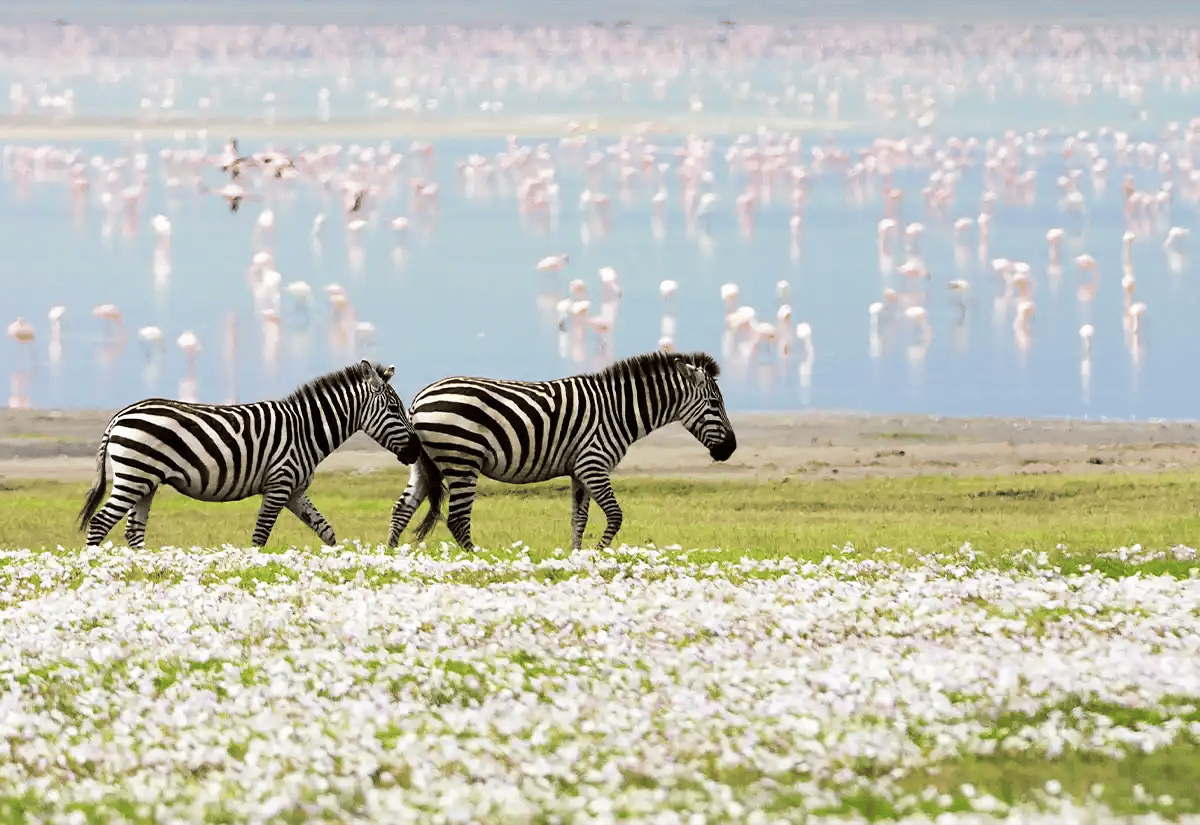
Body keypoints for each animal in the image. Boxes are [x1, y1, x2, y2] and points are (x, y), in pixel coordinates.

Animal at [78, 359, 443, 549]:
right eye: (395, 409)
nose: (416, 450)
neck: (306, 430)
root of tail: (120, 415)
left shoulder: (295, 491)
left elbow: (326, 530)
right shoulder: (278, 485)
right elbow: (260, 536)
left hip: (145, 483)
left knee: (133, 531)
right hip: (133, 476)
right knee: (99, 523)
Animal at [386, 350, 736, 551]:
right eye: (715, 403)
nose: (730, 449)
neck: (618, 410)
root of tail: (418, 399)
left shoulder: (579, 470)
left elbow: (578, 518)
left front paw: (576, 556)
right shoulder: (593, 464)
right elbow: (615, 515)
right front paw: (599, 554)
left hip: (423, 461)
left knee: (402, 508)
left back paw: (390, 556)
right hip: (462, 460)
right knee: (458, 519)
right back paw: (478, 559)